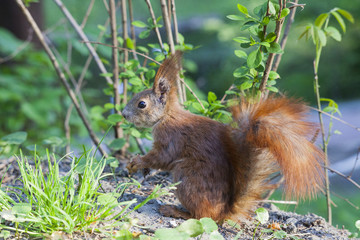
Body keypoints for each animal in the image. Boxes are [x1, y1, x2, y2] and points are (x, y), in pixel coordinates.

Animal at [121, 50, 326, 221]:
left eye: (141, 104)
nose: (123, 114)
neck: (167, 116)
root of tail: (224, 212)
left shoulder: (170, 138)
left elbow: (161, 158)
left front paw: (137, 162)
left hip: (187, 177)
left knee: (201, 216)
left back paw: (175, 210)